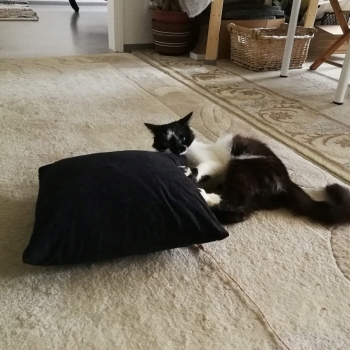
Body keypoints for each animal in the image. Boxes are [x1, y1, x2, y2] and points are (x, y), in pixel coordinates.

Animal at [144, 113, 350, 226]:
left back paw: (204, 195)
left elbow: (201, 167)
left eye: (183, 138)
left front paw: (189, 172)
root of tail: (287, 181)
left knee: (237, 199)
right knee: (240, 213)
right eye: (167, 143)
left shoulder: (213, 161)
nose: (179, 149)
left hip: (244, 165)